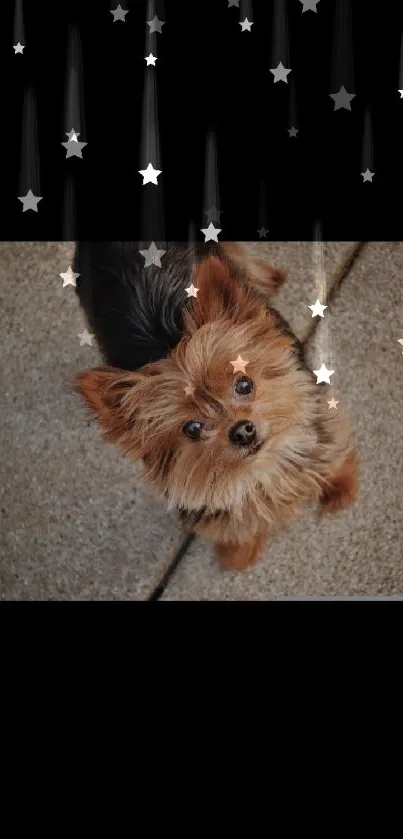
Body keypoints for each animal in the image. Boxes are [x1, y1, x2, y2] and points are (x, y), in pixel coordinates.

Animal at [74, 240, 358, 576]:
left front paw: (339, 483)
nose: (243, 431)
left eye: (244, 384)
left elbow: (330, 448)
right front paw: (240, 551)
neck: (260, 469)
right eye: (192, 428)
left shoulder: (313, 410)